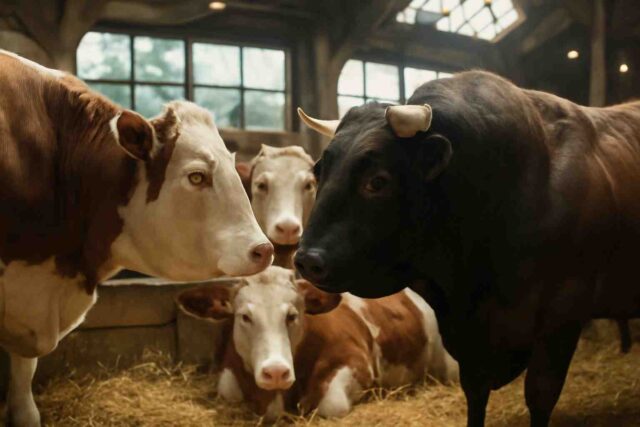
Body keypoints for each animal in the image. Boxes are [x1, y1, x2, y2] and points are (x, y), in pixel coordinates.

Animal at [177, 266, 458, 420]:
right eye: (245, 316)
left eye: (292, 315)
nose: (276, 372)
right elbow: (229, 393)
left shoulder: (357, 364)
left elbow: (332, 405)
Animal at [294, 70, 640, 427]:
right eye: (319, 170)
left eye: (377, 181)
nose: (306, 260)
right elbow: (475, 394)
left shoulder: (562, 319)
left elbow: (540, 396)